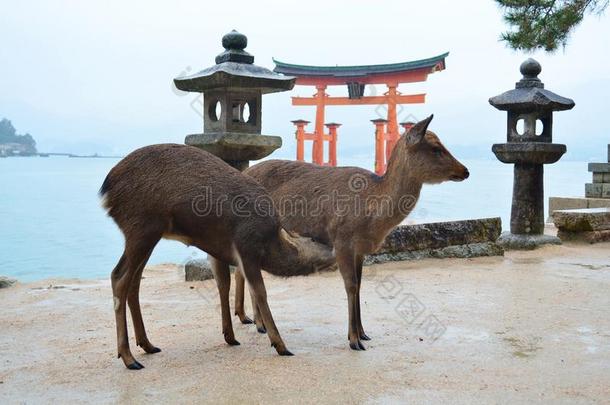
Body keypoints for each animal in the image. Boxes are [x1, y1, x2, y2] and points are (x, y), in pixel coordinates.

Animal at [101, 143, 334, 370]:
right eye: (313, 239)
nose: (333, 249)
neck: (270, 243)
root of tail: (106, 190)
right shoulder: (246, 246)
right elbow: (259, 292)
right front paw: (280, 344)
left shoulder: (218, 250)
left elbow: (223, 284)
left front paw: (229, 336)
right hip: (141, 226)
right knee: (118, 276)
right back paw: (128, 357)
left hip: (149, 234)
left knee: (134, 281)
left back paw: (147, 345)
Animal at [233, 114, 466, 350]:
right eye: (436, 148)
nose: (466, 171)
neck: (373, 216)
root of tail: (244, 171)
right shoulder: (341, 239)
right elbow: (351, 285)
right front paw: (354, 340)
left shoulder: (360, 250)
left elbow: (360, 284)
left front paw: (363, 333)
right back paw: (255, 322)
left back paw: (251, 319)